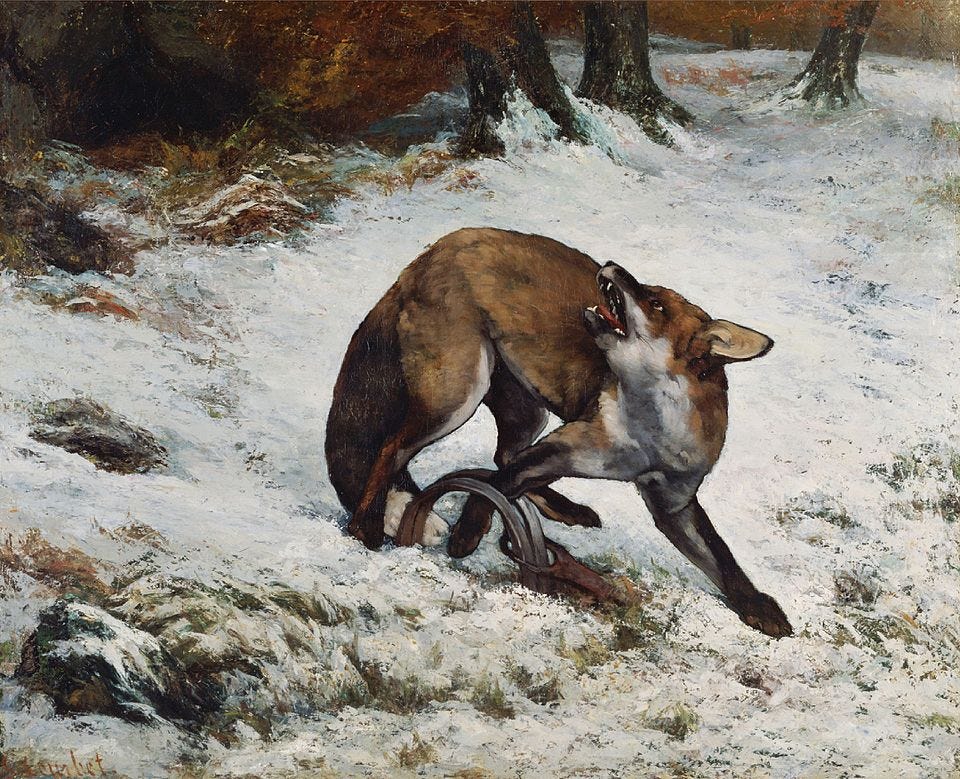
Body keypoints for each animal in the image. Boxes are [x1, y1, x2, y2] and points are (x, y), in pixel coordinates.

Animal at [325, 227, 792, 637]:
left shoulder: (673, 504)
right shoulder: (562, 447)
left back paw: (566, 509)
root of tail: (435, 250)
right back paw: (365, 527)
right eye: (650, 291)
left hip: (527, 412)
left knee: (501, 456)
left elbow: (724, 560)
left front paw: (759, 609)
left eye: (656, 303)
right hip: (457, 399)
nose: (610, 265)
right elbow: (495, 489)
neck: (646, 440)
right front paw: (466, 536)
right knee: (393, 450)